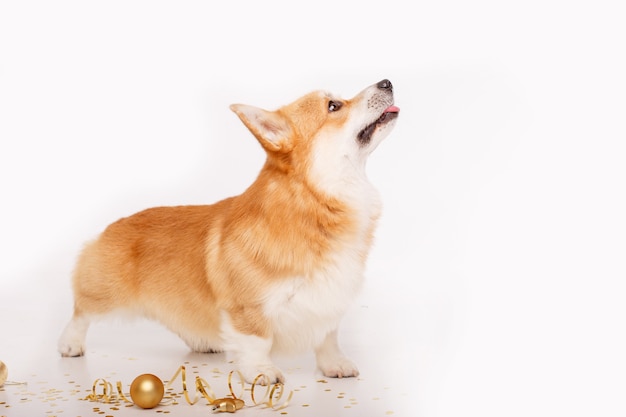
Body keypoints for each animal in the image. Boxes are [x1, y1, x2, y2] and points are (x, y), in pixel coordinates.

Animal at [59, 79, 400, 384]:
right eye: (334, 106)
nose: (387, 82)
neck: (317, 203)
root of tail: (113, 224)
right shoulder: (248, 308)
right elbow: (258, 340)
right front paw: (261, 372)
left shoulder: (329, 299)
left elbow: (328, 337)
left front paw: (335, 365)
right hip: (104, 293)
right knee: (80, 311)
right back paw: (69, 343)